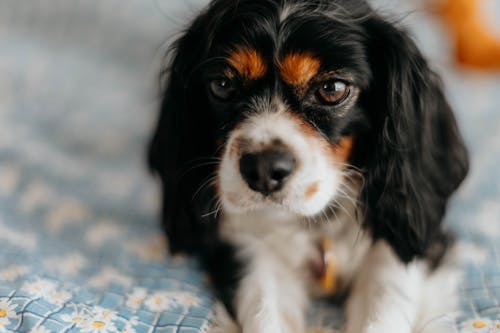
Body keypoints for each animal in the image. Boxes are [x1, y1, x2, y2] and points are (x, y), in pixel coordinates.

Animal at [147, 1, 468, 330]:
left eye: (333, 88)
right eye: (222, 85)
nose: (263, 169)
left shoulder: (410, 236)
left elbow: (387, 293)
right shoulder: (244, 245)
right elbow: (263, 307)